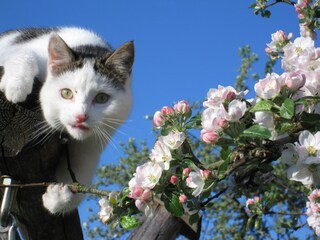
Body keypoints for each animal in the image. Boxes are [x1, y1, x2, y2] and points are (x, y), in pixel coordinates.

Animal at [0, 27, 134, 214]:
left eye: (102, 98)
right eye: (66, 93)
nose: (81, 116)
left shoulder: (89, 148)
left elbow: (81, 182)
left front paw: (57, 198)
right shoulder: (18, 49)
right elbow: (23, 52)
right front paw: (17, 87)